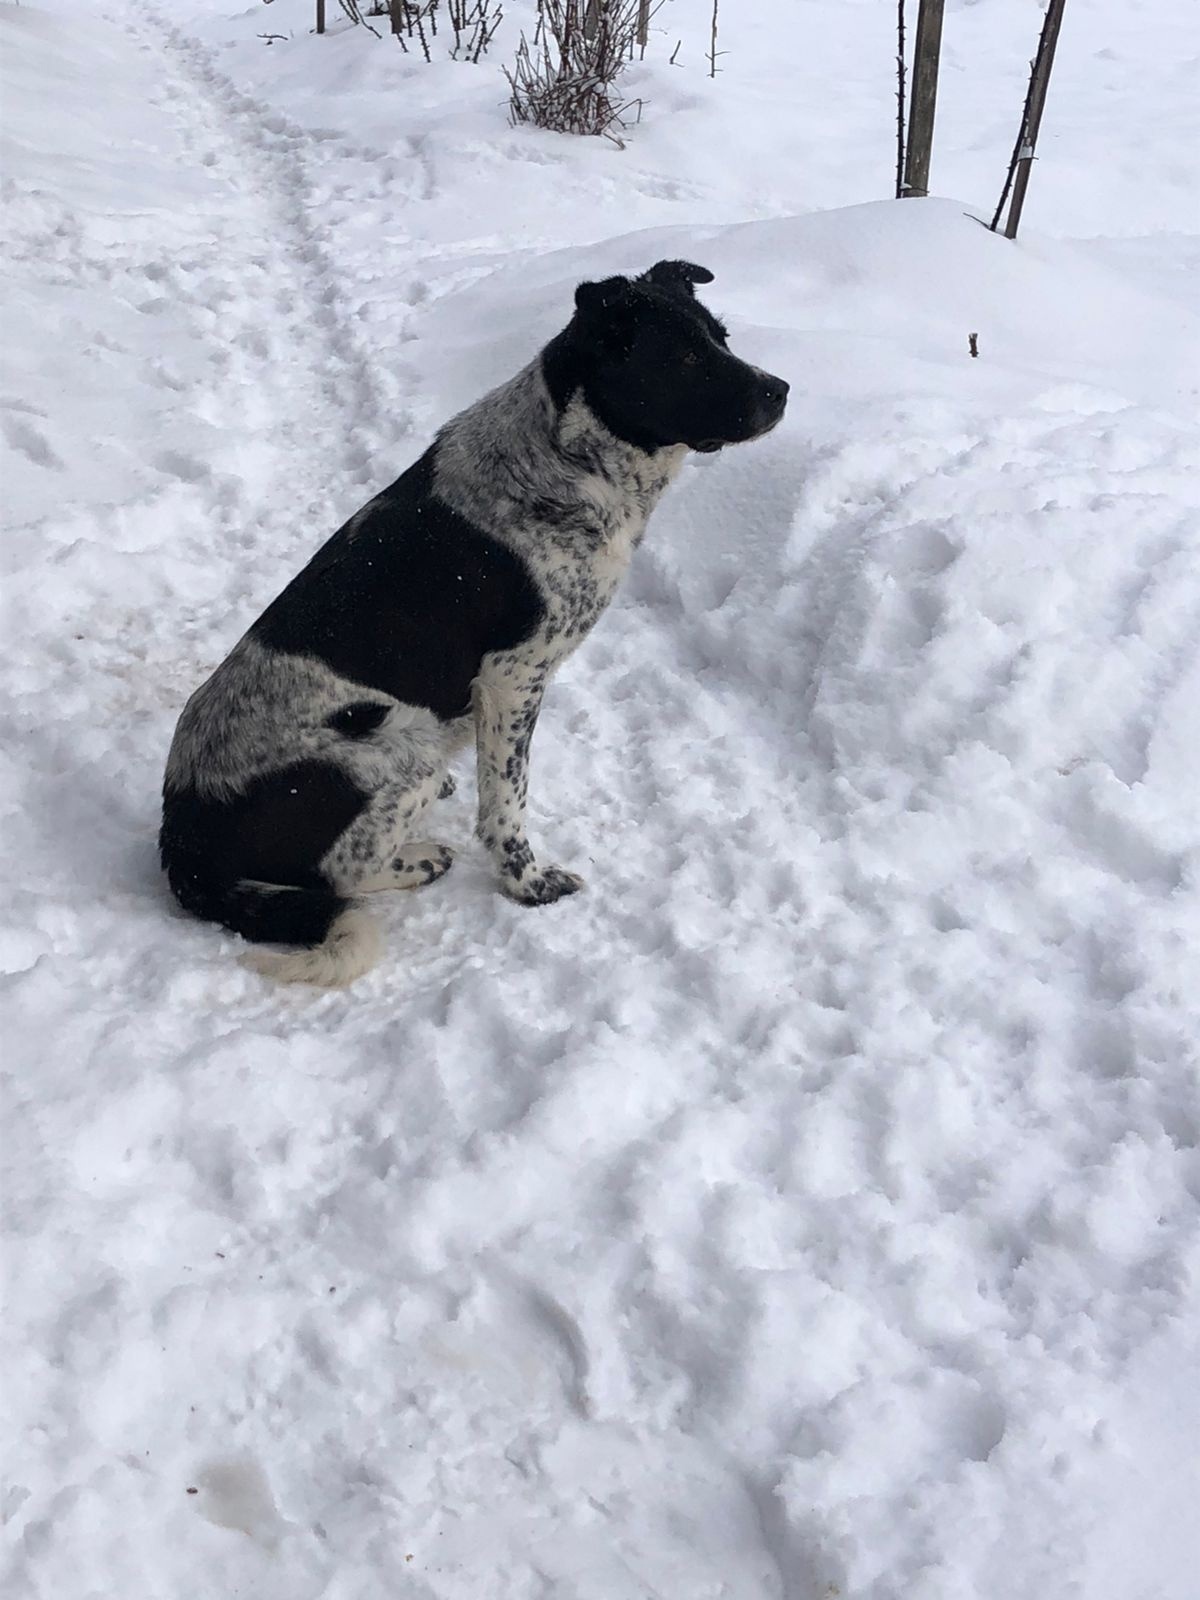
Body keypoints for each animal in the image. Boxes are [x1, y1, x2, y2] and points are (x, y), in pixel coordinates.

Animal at [164, 260, 793, 979]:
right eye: (685, 357)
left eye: (722, 338)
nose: (780, 391)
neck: (567, 458)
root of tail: (180, 837)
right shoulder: (512, 677)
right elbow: (507, 803)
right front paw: (528, 884)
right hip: (394, 745)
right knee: (341, 872)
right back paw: (420, 858)